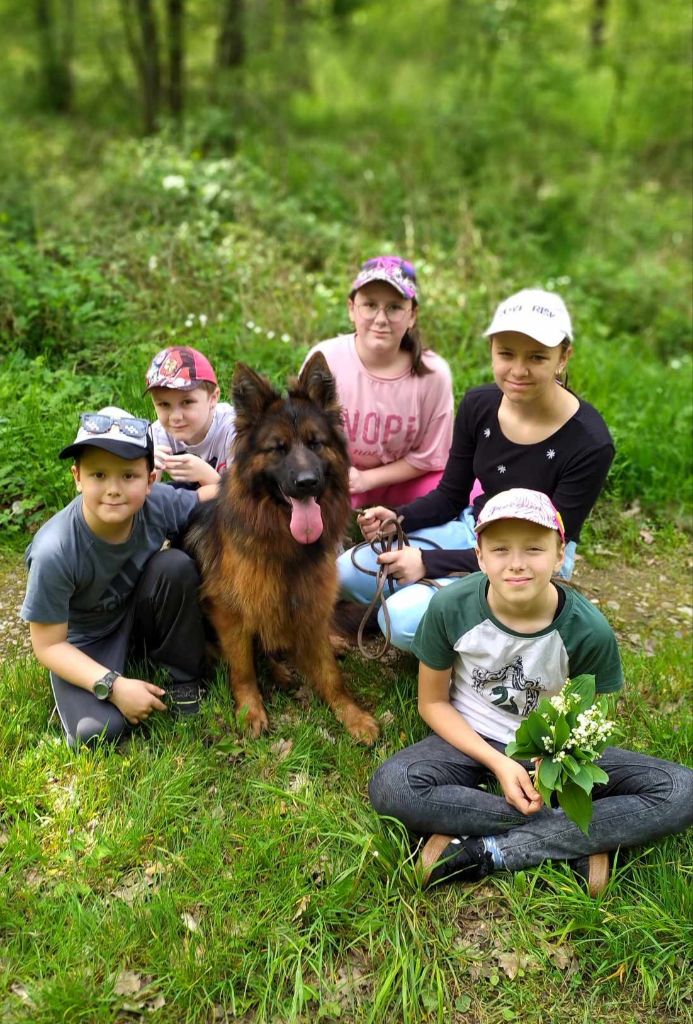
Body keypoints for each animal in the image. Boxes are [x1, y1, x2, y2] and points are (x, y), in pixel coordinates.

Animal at [184, 352, 378, 745]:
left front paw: (352, 715)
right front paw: (250, 711)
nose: (307, 483)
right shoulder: (230, 612)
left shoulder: (310, 600)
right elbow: (243, 668)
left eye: (315, 443)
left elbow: (330, 674)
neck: (285, 545)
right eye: (278, 448)